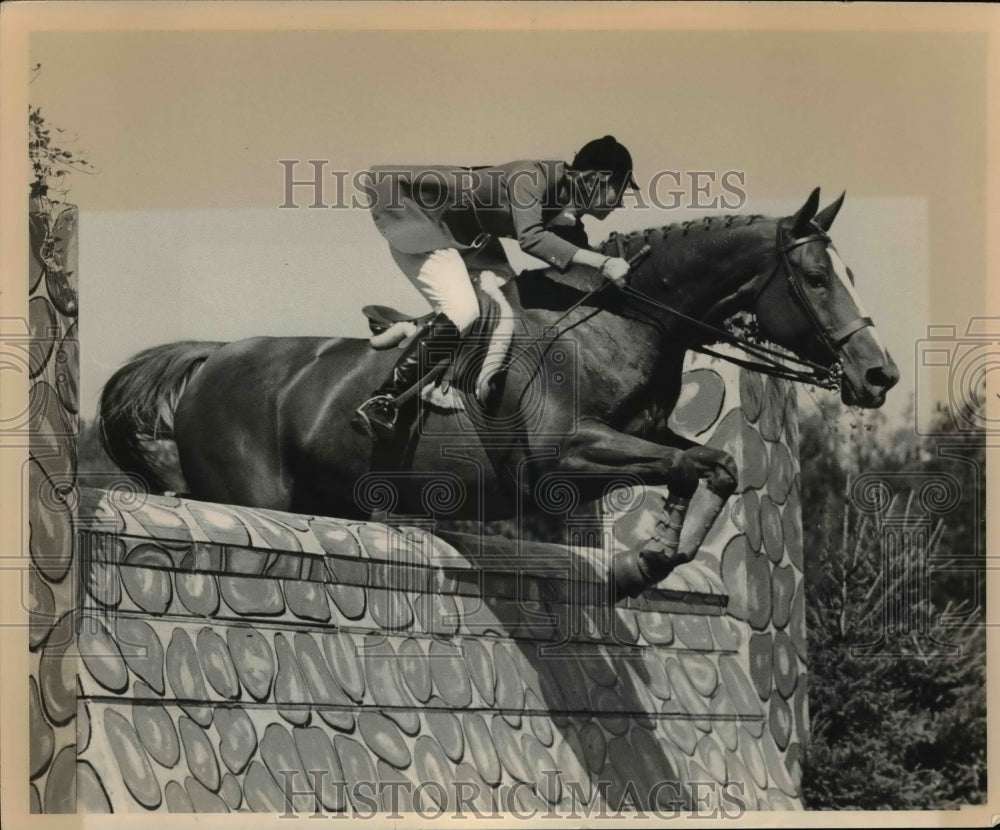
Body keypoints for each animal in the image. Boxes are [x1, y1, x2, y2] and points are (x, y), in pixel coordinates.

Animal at [99, 190, 900, 604]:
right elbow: (693, 465)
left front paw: (657, 554)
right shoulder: (563, 459)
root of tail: (212, 356)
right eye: (817, 279)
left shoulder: (645, 435)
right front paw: (645, 561)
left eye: (853, 273)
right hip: (253, 492)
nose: (879, 375)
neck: (623, 321)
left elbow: (711, 464)